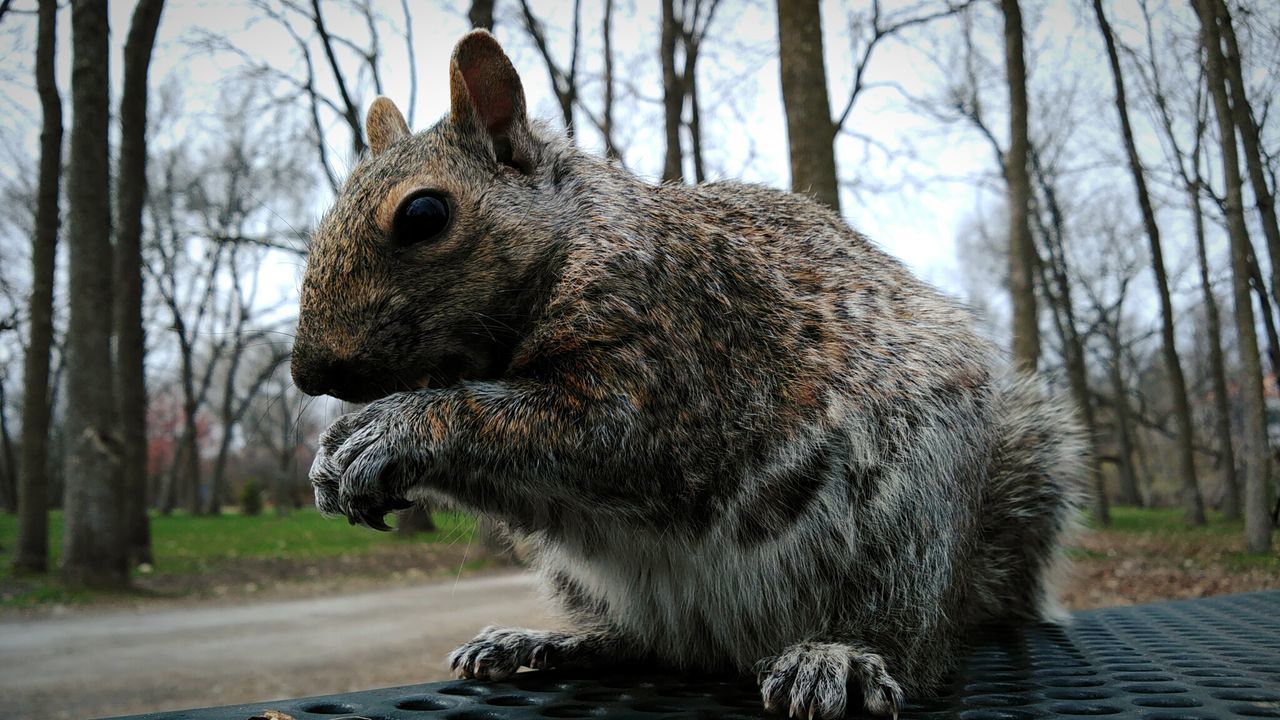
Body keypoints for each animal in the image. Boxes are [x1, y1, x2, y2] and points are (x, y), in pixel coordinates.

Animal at [293, 28, 1090, 717]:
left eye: (424, 214)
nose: (307, 372)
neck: (580, 241)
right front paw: (332, 456)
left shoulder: (679, 364)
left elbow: (591, 437)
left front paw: (388, 433)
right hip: (589, 580)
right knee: (641, 643)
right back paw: (549, 642)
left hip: (902, 528)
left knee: (908, 644)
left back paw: (841, 655)